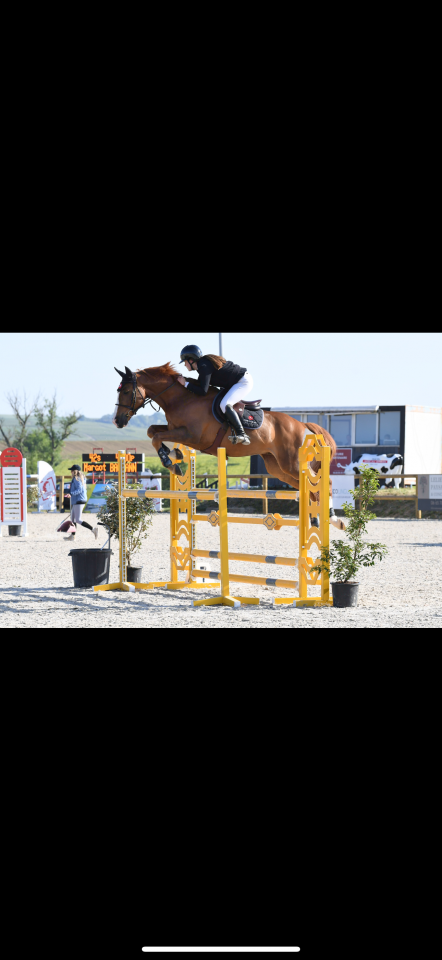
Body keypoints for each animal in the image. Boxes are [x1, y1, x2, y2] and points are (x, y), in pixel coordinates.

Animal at [113, 363, 345, 529]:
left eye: (126, 391)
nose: (117, 421)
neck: (183, 398)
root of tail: (302, 425)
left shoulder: (192, 435)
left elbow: (156, 435)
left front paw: (170, 461)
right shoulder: (177, 429)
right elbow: (152, 430)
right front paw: (173, 455)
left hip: (293, 463)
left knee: (323, 484)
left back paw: (333, 520)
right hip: (278, 468)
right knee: (309, 488)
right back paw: (319, 520)